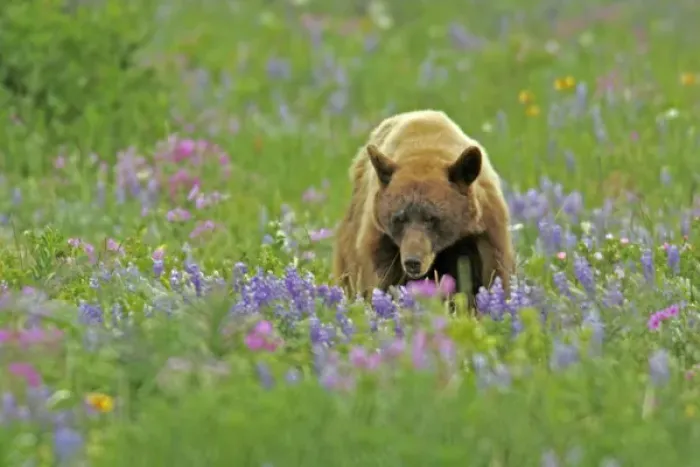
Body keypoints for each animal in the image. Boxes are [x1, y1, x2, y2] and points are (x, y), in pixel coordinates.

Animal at [332, 109, 515, 307]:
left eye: (432, 218)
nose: (413, 262)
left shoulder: (483, 231)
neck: (424, 148)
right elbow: (381, 279)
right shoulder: (380, 238)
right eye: (399, 218)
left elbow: (490, 275)